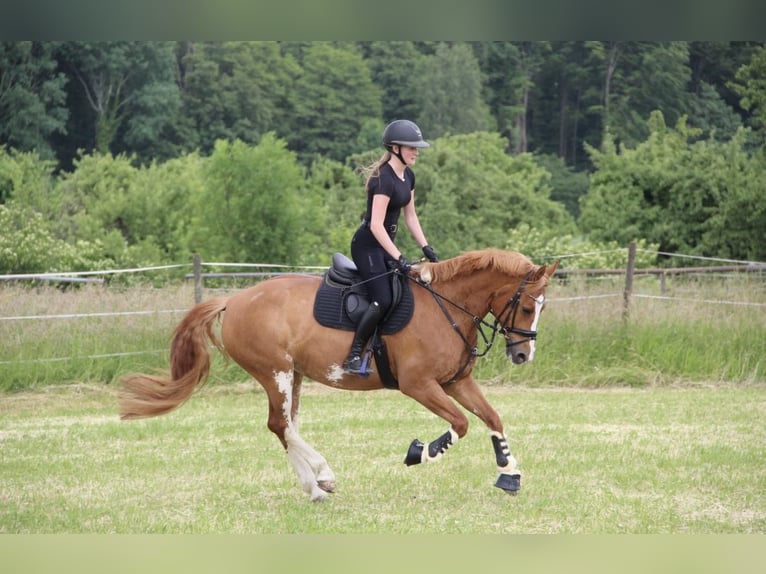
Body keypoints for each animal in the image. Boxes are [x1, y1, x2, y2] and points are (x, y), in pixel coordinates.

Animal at [121, 250, 564, 502]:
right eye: (527, 307)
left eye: (541, 307)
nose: (523, 355)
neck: (447, 307)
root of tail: (234, 299)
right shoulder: (419, 385)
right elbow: (460, 423)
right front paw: (420, 452)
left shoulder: (456, 381)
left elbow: (491, 417)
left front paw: (509, 474)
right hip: (274, 372)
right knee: (281, 425)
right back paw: (320, 479)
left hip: (293, 375)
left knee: (286, 426)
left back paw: (317, 484)